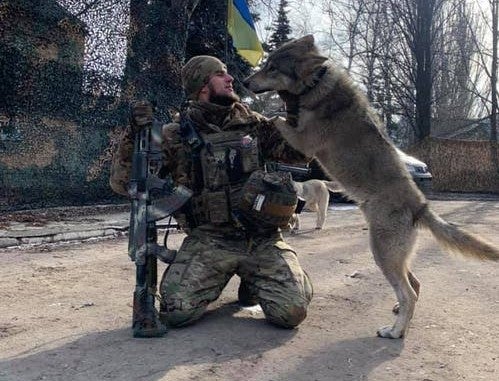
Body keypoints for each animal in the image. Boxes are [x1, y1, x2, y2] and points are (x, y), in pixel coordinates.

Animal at [245, 35, 499, 338]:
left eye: (272, 68)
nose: (244, 82)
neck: (317, 86)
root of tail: (420, 204)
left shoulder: (302, 142)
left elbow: (274, 117)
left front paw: (251, 112)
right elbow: (276, 116)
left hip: (382, 254)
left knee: (409, 293)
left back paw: (395, 331)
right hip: (392, 256)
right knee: (415, 285)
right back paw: (399, 316)